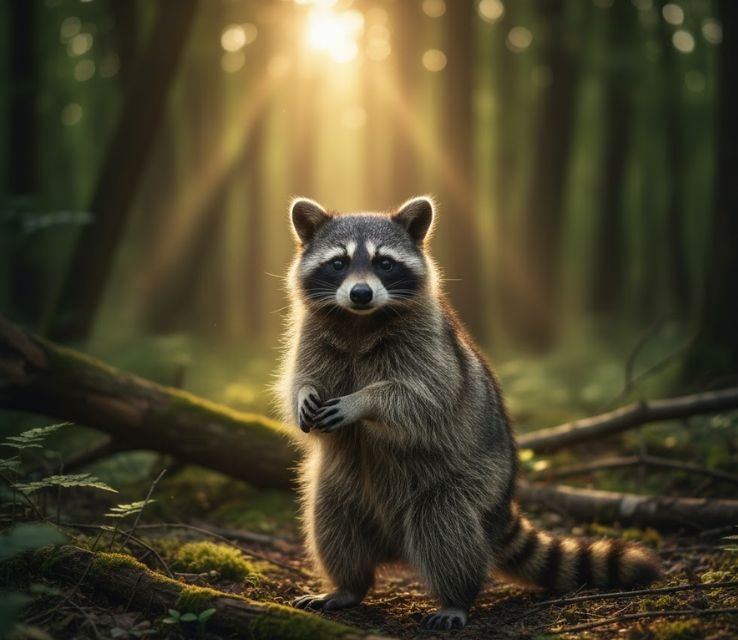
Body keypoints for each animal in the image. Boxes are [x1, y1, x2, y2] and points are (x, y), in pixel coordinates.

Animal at [277, 196, 661, 630]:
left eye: (384, 263)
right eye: (338, 263)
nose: (360, 294)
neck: (359, 320)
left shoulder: (431, 348)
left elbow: (419, 396)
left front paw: (365, 400)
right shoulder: (311, 337)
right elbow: (297, 380)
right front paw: (305, 393)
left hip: (471, 480)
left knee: (445, 525)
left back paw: (456, 596)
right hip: (340, 484)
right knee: (332, 522)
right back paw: (348, 584)